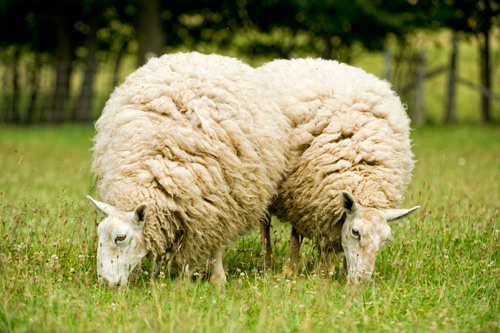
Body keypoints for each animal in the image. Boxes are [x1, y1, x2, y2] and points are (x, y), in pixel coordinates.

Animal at [86, 51, 290, 286]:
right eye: (100, 235)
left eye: (121, 237)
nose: (104, 283)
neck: (155, 168)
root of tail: (200, 55)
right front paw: (160, 274)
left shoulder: (219, 205)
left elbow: (213, 242)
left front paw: (216, 279)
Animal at [256, 58, 420, 282]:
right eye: (356, 232)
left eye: (385, 239)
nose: (362, 281)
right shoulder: (301, 197)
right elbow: (296, 237)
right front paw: (291, 270)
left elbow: (328, 245)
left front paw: (331, 272)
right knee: (265, 224)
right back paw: (268, 262)